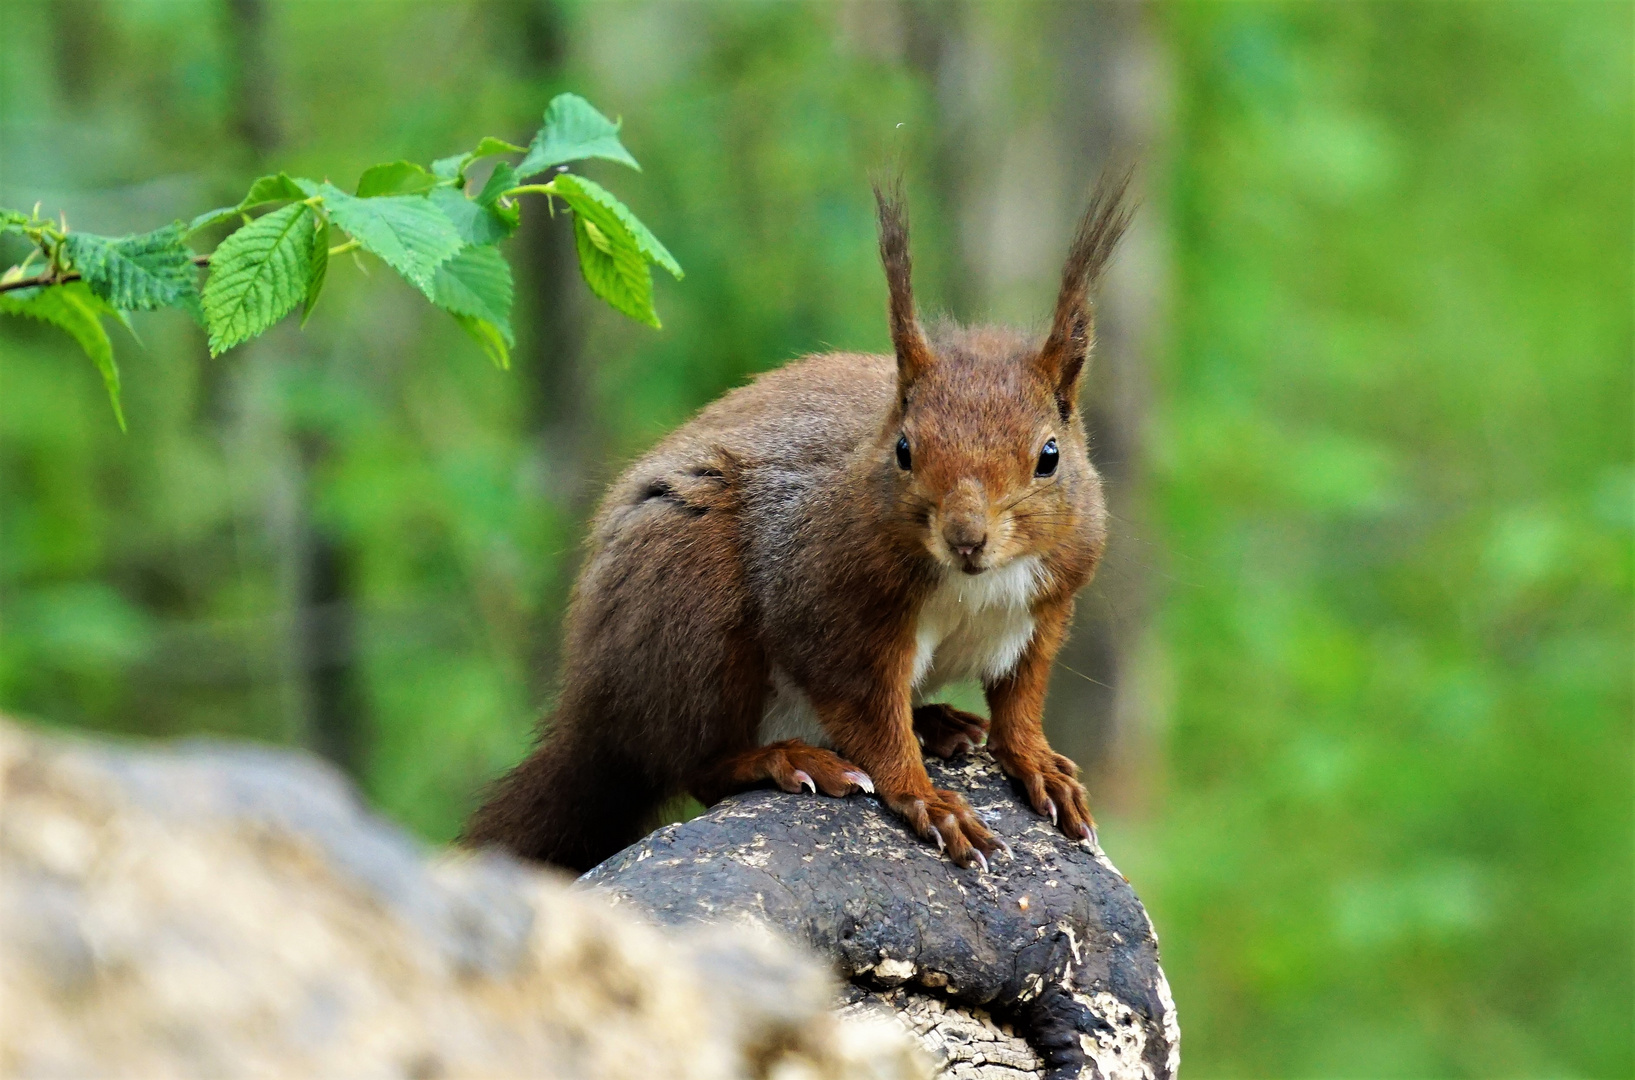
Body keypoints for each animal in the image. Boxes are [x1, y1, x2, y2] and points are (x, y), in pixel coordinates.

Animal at [467, 172, 1131, 869]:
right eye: (903, 449)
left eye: (1049, 457)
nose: (966, 538)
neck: (973, 585)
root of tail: (595, 710)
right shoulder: (827, 610)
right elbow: (871, 719)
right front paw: (929, 800)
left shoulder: (1048, 604)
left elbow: (1020, 701)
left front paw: (1037, 763)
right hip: (692, 601)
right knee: (695, 765)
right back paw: (786, 760)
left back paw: (936, 723)